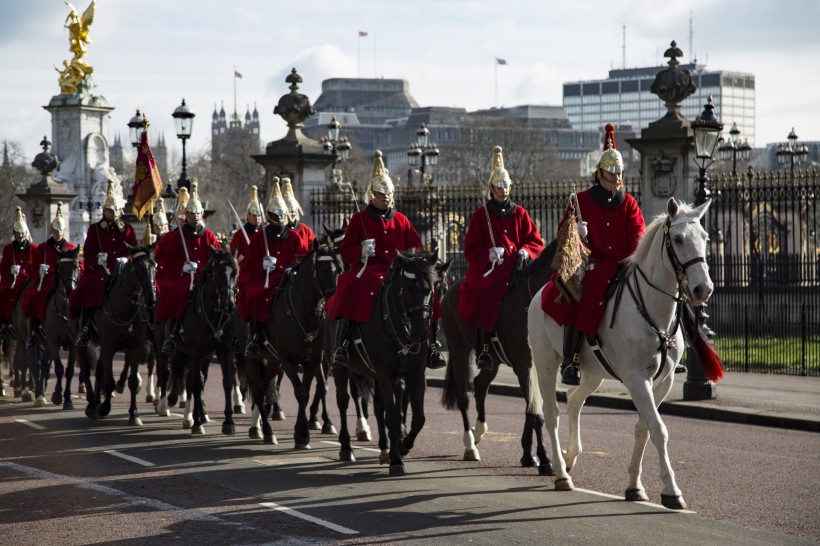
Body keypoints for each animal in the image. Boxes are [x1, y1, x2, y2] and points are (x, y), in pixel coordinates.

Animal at [77, 242, 157, 420]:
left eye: (154, 265)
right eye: (137, 268)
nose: (151, 298)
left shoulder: (135, 345)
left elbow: (132, 380)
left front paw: (134, 413)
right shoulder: (109, 346)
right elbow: (109, 382)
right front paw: (105, 407)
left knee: (99, 370)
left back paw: (96, 402)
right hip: (80, 341)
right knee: (86, 369)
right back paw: (92, 404)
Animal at [332, 249, 438, 474]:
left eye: (431, 287)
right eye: (409, 288)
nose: (421, 333)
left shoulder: (415, 375)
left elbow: (418, 418)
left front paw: (403, 447)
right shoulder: (385, 374)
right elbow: (393, 416)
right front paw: (396, 460)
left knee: (378, 406)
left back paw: (383, 448)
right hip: (340, 370)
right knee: (343, 401)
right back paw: (346, 447)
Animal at [442, 240, 556, 474]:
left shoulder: (538, 367)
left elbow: (532, 408)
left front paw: (528, 455)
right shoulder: (525, 365)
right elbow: (535, 413)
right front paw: (544, 459)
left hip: (492, 361)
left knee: (480, 384)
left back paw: (479, 430)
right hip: (458, 350)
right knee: (463, 396)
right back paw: (470, 445)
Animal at [528, 198, 720, 508]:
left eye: (705, 237)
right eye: (678, 239)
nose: (703, 289)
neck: (652, 308)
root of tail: (540, 294)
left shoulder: (662, 382)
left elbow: (644, 428)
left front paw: (634, 486)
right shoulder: (636, 379)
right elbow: (658, 429)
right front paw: (671, 490)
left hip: (592, 372)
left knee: (574, 399)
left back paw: (570, 457)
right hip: (545, 361)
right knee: (551, 412)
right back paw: (560, 473)